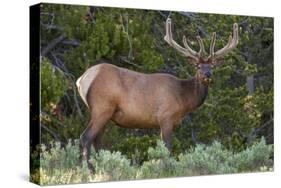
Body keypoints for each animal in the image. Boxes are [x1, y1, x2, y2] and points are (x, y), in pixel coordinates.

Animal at [75, 18, 237, 170]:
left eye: (212, 65)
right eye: (198, 66)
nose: (207, 74)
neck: (183, 98)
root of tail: (82, 79)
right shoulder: (166, 116)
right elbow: (167, 148)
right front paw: (166, 168)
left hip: (103, 112)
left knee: (97, 140)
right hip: (102, 107)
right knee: (86, 137)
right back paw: (88, 169)